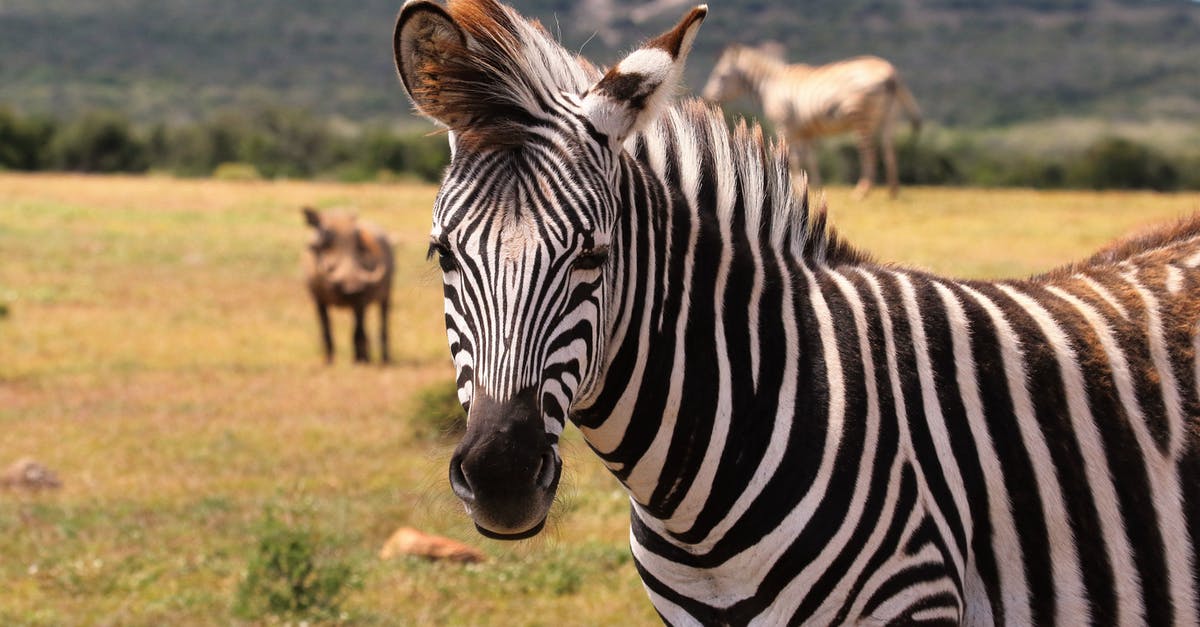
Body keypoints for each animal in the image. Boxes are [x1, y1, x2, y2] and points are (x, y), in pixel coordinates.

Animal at [700, 43, 921, 199]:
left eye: (721, 76)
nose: (706, 98)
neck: (771, 84)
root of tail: (891, 74)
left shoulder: (785, 126)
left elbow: (793, 157)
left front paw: (794, 186)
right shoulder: (805, 130)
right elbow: (810, 158)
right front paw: (813, 185)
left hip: (861, 118)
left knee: (869, 152)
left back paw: (862, 191)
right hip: (890, 118)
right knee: (889, 149)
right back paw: (893, 191)